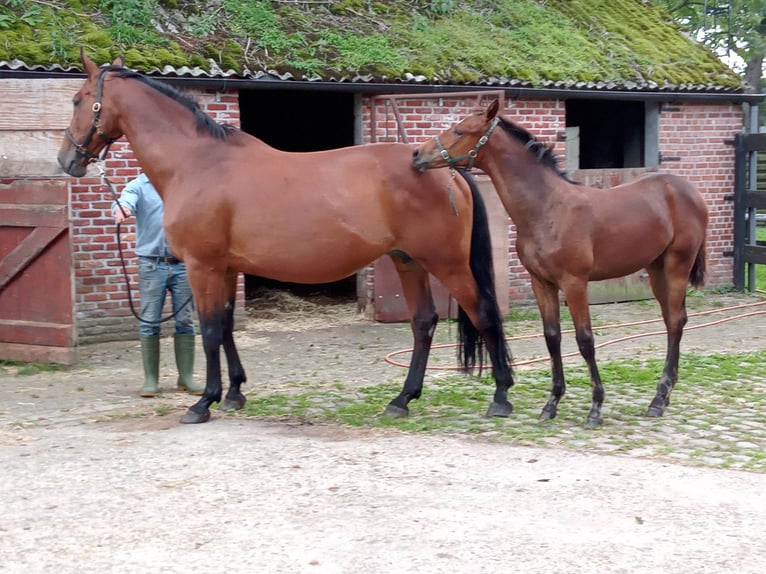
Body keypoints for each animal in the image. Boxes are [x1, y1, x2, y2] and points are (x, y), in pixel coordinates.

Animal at [58, 51, 516, 426]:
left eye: (78, 99)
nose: (67, 160)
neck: (197, 162)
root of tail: (445, 169)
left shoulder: (202, 266)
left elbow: (210, 329)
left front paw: (203, 402)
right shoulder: (226, 268)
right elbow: (226, 325)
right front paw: (234, 393)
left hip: (446, 263)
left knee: (484, 313)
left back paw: (500, 396)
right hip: (408, 261)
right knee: (423, 322)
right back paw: (402, 400)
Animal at [414, 99, 708, 428]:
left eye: (459, 130)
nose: (417, 155)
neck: (547, 207)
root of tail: (688, 190)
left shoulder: (574, 283)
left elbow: (585, 340)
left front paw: (596, 408)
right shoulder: (541, 282)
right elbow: (552, 337)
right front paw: (551, 403)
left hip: (677, 266)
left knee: (675, 321)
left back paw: (658, 399)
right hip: (656, 270)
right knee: (673, 319)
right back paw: (663, 397)